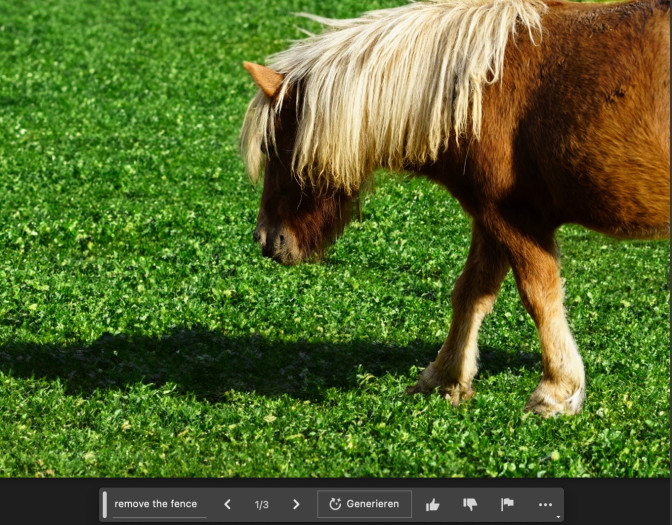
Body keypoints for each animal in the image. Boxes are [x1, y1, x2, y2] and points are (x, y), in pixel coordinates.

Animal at [240, 0, 670, 416]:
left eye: (272, 146)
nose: (266, 239)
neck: (479, 90)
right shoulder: (489, 217)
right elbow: (471, 292)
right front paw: (444, 378)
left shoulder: (513, 218)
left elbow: (539, 296)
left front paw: (556, 391)